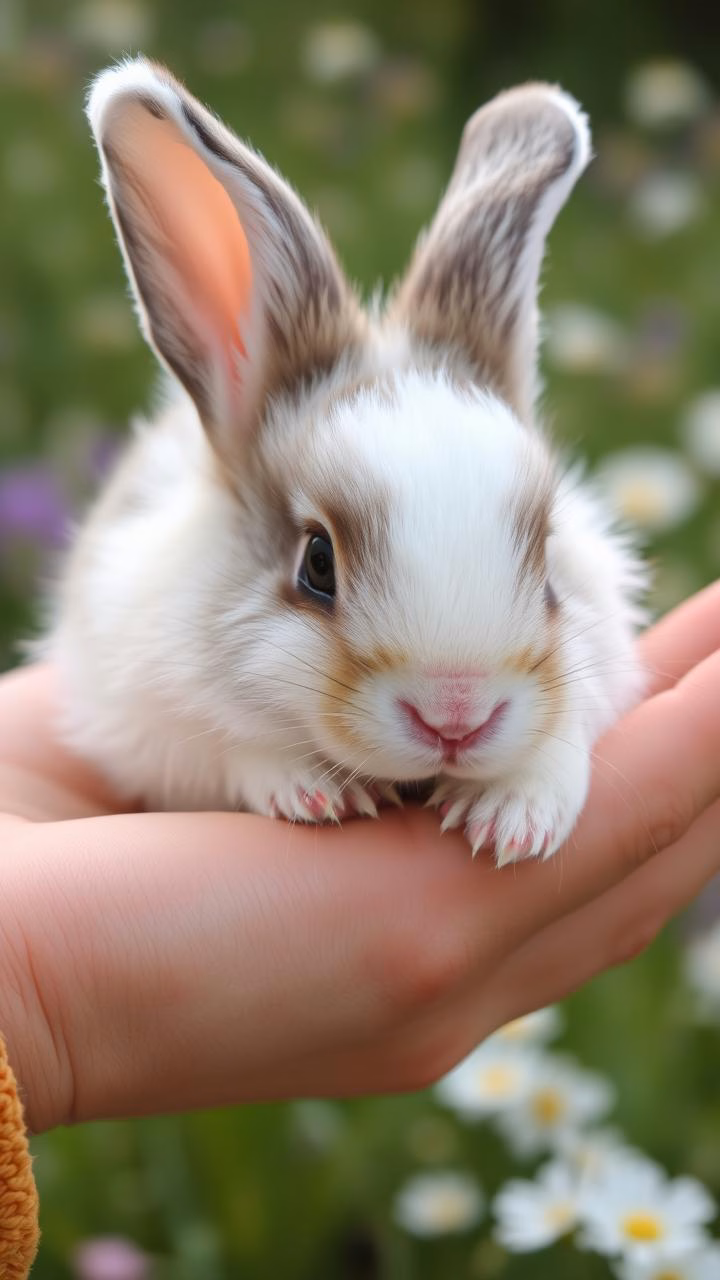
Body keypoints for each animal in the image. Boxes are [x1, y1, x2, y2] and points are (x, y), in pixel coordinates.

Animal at [42, 57, 647, 864]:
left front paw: (513, 819)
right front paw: (316, 792)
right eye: (317, 563)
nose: (456, 717)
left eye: (548, 560)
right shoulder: (144, 715)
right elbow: (232, 749)